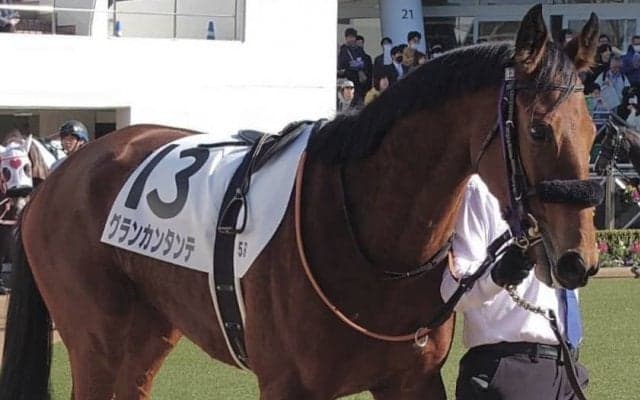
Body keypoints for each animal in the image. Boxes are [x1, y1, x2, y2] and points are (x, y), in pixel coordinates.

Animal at [0, 6, 601, 400]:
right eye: (539, 130)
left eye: (593, 130)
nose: (580, 260)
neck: (366, 235)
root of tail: (58, 176)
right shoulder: (289, 385)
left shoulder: (413, 380)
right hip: (95, 343)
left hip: (145, 337)